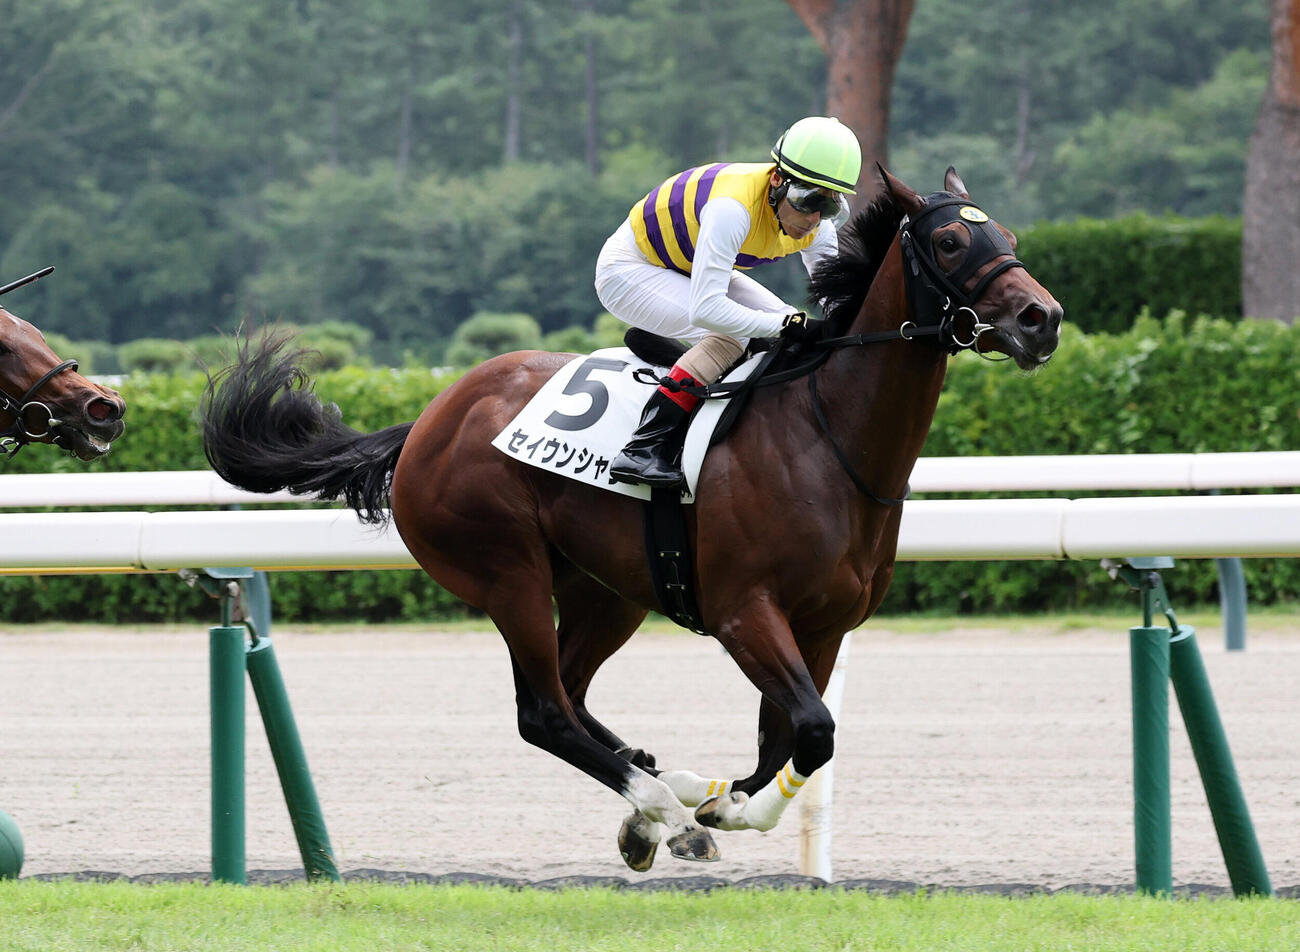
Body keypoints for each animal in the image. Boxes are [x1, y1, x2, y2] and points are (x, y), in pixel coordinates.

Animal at [200, 166, 1062, 871]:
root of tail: (424, 424)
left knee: (573, 695)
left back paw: (666, 790)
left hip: (604, 589)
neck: (828, 437)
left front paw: (722, 797)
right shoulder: (745, 612)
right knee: (545, 712)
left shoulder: (823, 626)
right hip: (506, 571)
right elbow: (813, 730)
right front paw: (720, 810)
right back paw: (662, 810)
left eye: (1011, 236)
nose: (1042, 318)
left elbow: (789, 738)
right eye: (950, 239)